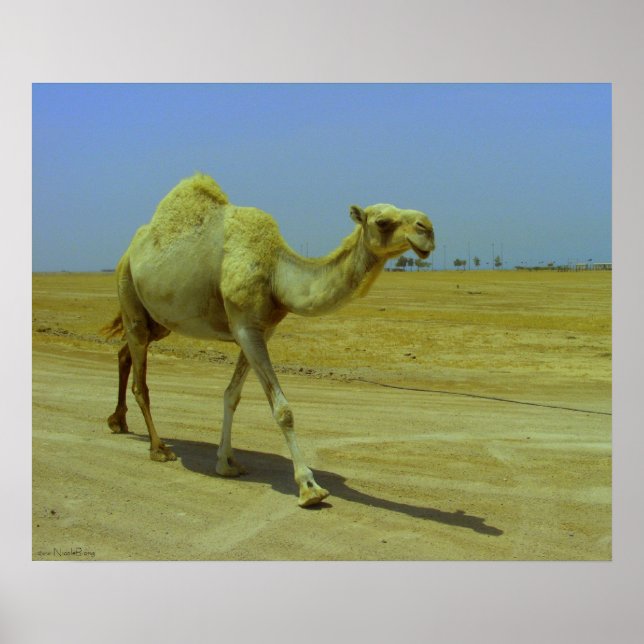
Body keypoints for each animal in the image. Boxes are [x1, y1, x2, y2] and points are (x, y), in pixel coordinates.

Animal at [103, 173, 435, 507]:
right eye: (382, 221)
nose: (428, 228)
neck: (276, 273)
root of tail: (127, 253)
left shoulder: (259, 329)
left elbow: (231, 395)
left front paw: (226, 462)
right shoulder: (245, 327)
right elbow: (283, 410)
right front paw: (309, 487)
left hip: (160, 321)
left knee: (124, 354)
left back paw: (118, 421)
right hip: (129, 295)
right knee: (141, 382)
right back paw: (158, 448)